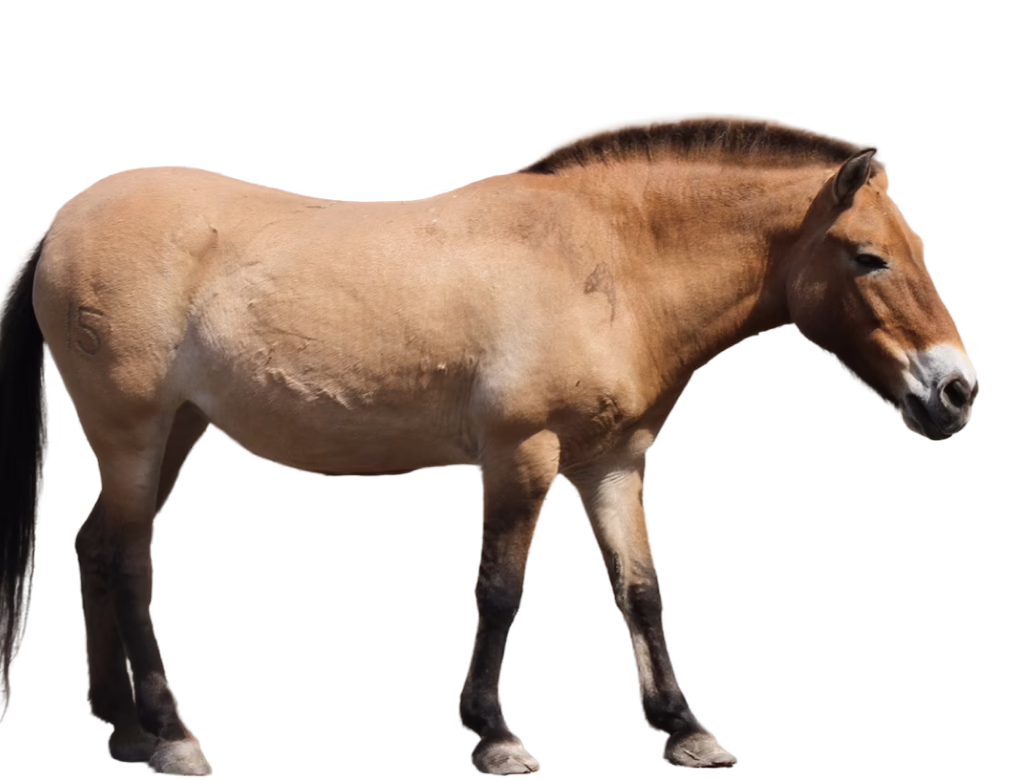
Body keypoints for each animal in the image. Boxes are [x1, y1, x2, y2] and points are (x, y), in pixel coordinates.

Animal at [0, 113, 978, 776]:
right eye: (868, 258)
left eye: (920, 247)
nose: (957, 391)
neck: (604, 260)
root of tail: (58, 224)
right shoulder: (522, 455)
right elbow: (502, 589)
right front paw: (497, 736)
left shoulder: (611, 464)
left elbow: (642, 593)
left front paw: (688, 730)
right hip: (130, 430)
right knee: (129, 563)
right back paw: (173, 737)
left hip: (177, 430)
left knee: (94, 548)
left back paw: (125, 728)